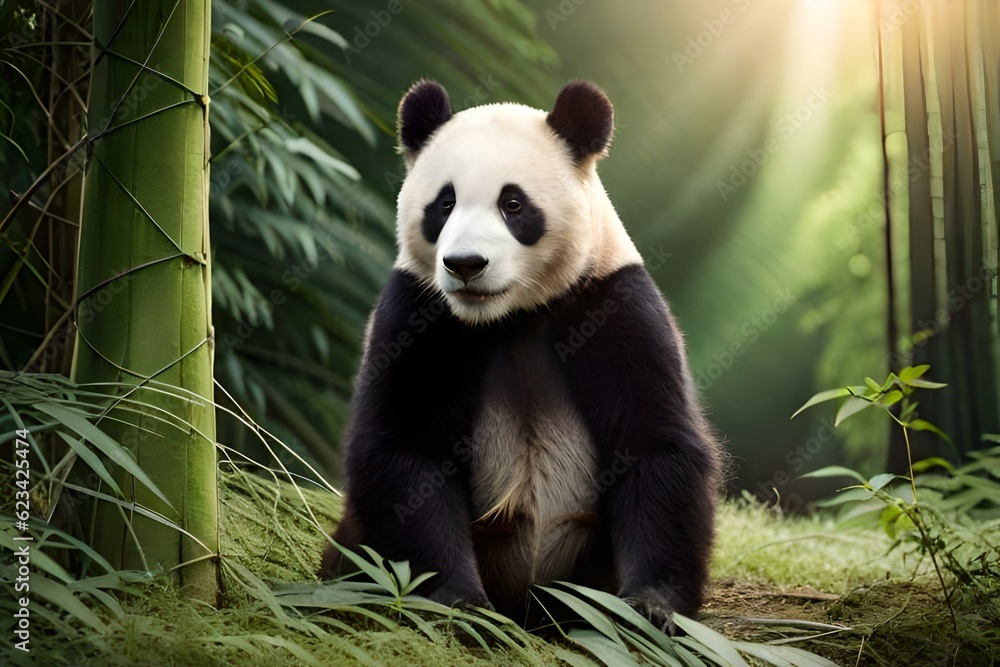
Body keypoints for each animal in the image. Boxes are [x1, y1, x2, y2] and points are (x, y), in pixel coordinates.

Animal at [320, 79, 723, 629]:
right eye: (444, 203)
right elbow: (406, 449)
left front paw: (648, 606)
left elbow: (655, 444)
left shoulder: (613, 301)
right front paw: (460, 602)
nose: (466, 265)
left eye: (513, 204)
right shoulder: (417, 310)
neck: (512, 315)